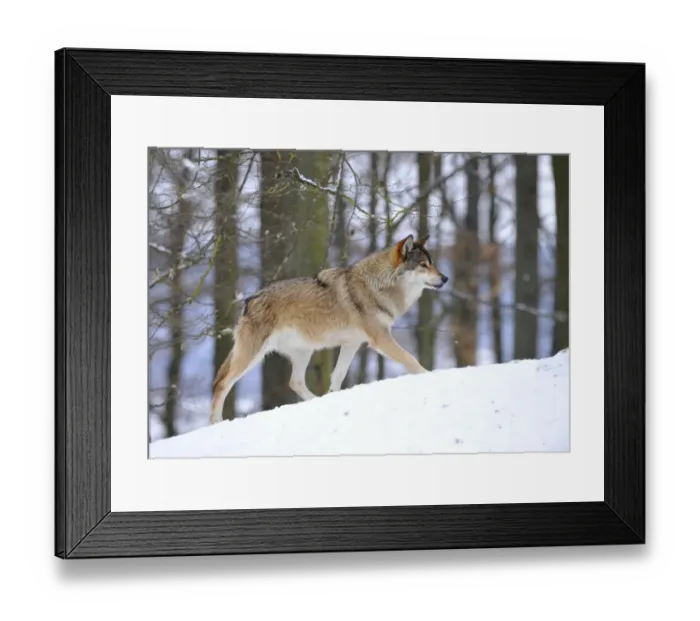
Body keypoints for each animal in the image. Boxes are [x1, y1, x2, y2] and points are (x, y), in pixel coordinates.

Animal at [209, 233, 448, 424]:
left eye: (433, 263)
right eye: (423, 265)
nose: (445, 278)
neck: (378, 285)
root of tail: (249, 300)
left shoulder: (352, 344)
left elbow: (338, 375)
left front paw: (333, 396)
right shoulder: (380, 339)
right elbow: (411, 360)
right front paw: (430, 376)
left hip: (303, 352)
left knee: (294, 382)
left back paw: (316, 400)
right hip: (253, 356)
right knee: (221, 383)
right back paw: (215, 422)